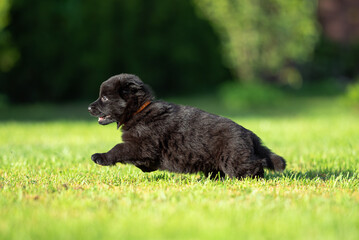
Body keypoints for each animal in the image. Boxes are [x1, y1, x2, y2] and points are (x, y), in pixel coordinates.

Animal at [88, 74, 286, 179]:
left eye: (104, 98)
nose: (89, 107)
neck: (139, 111)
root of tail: (250, 134)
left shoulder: (142, 144)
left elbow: (118, 148)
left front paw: (101, 157)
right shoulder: (144, 150)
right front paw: (147, 168)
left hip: (234, 159)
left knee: (255, 165)